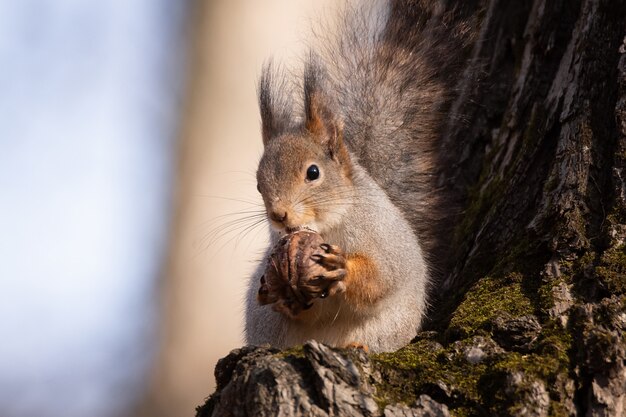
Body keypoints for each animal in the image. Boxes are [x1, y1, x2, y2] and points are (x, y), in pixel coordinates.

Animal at [241, 0, 470, 352]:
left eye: (313, 172)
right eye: (257, 184)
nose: (278, 215)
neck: (329, 225)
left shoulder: (387, 243)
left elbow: (381, 279)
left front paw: (344, 268)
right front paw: (283, 296)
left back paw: (357, 346)